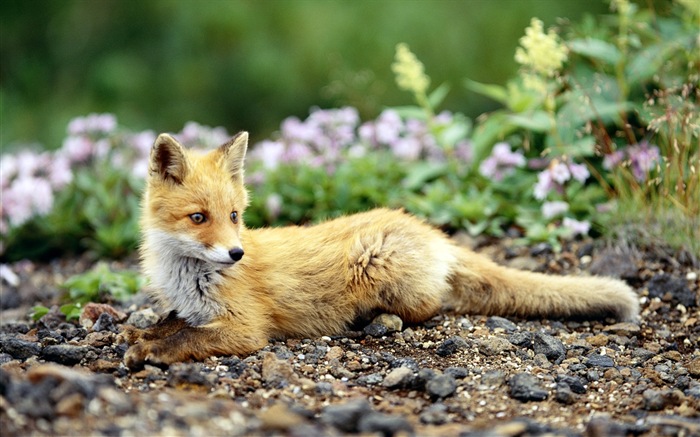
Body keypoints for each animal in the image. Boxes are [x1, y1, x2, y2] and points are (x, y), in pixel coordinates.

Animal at [120, 130, 640, 368]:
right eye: (198, 218)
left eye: (233, 216)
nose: (236, 255)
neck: (188, 277)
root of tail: (424, 227)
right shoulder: (189, 307)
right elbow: (173, 323)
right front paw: (144, 334)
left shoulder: (246, 328)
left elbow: (190, 338)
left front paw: (151, 351)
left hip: (379, 265)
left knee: (432, 305)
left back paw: (376, 319)